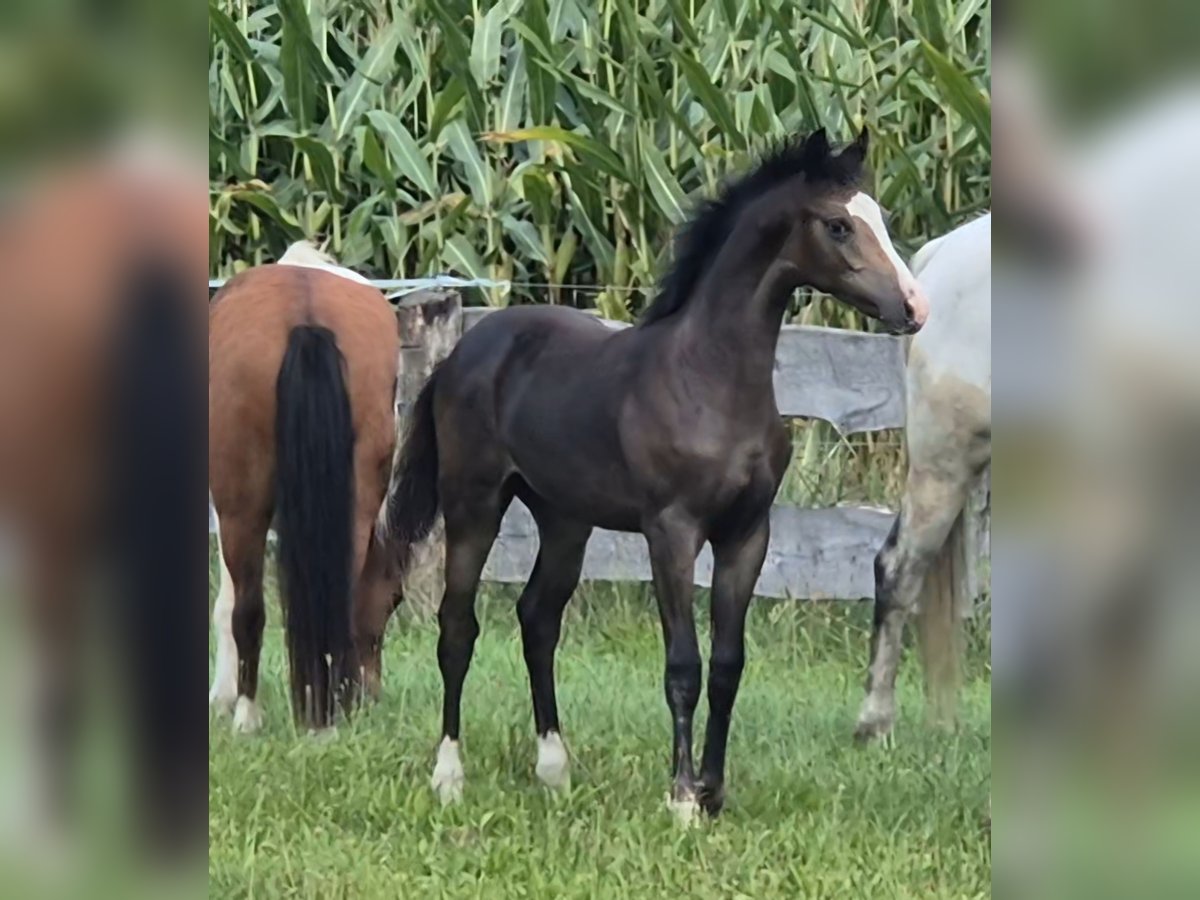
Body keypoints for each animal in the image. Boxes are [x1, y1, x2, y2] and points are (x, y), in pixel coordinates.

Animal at [210, 240, 403, 734]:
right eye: (394, 602)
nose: (373, 695)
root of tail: (306, 313)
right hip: (355, 501)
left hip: (242, 504)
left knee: (248, 608)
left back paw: (247, 714)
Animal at [384, 128, 926, 825]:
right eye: (837, 225)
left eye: (878, 217)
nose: (913, 307)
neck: (709, 379)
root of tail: (460, 355)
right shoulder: (672, 531)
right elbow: (683, 666)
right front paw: (682, 799)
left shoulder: (747, 534)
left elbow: (727, 664)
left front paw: (715, 792)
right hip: (473, 503)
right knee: (458, 626)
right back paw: (449, 775)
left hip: (565, 518)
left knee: (538, 620)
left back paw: (554, 769)